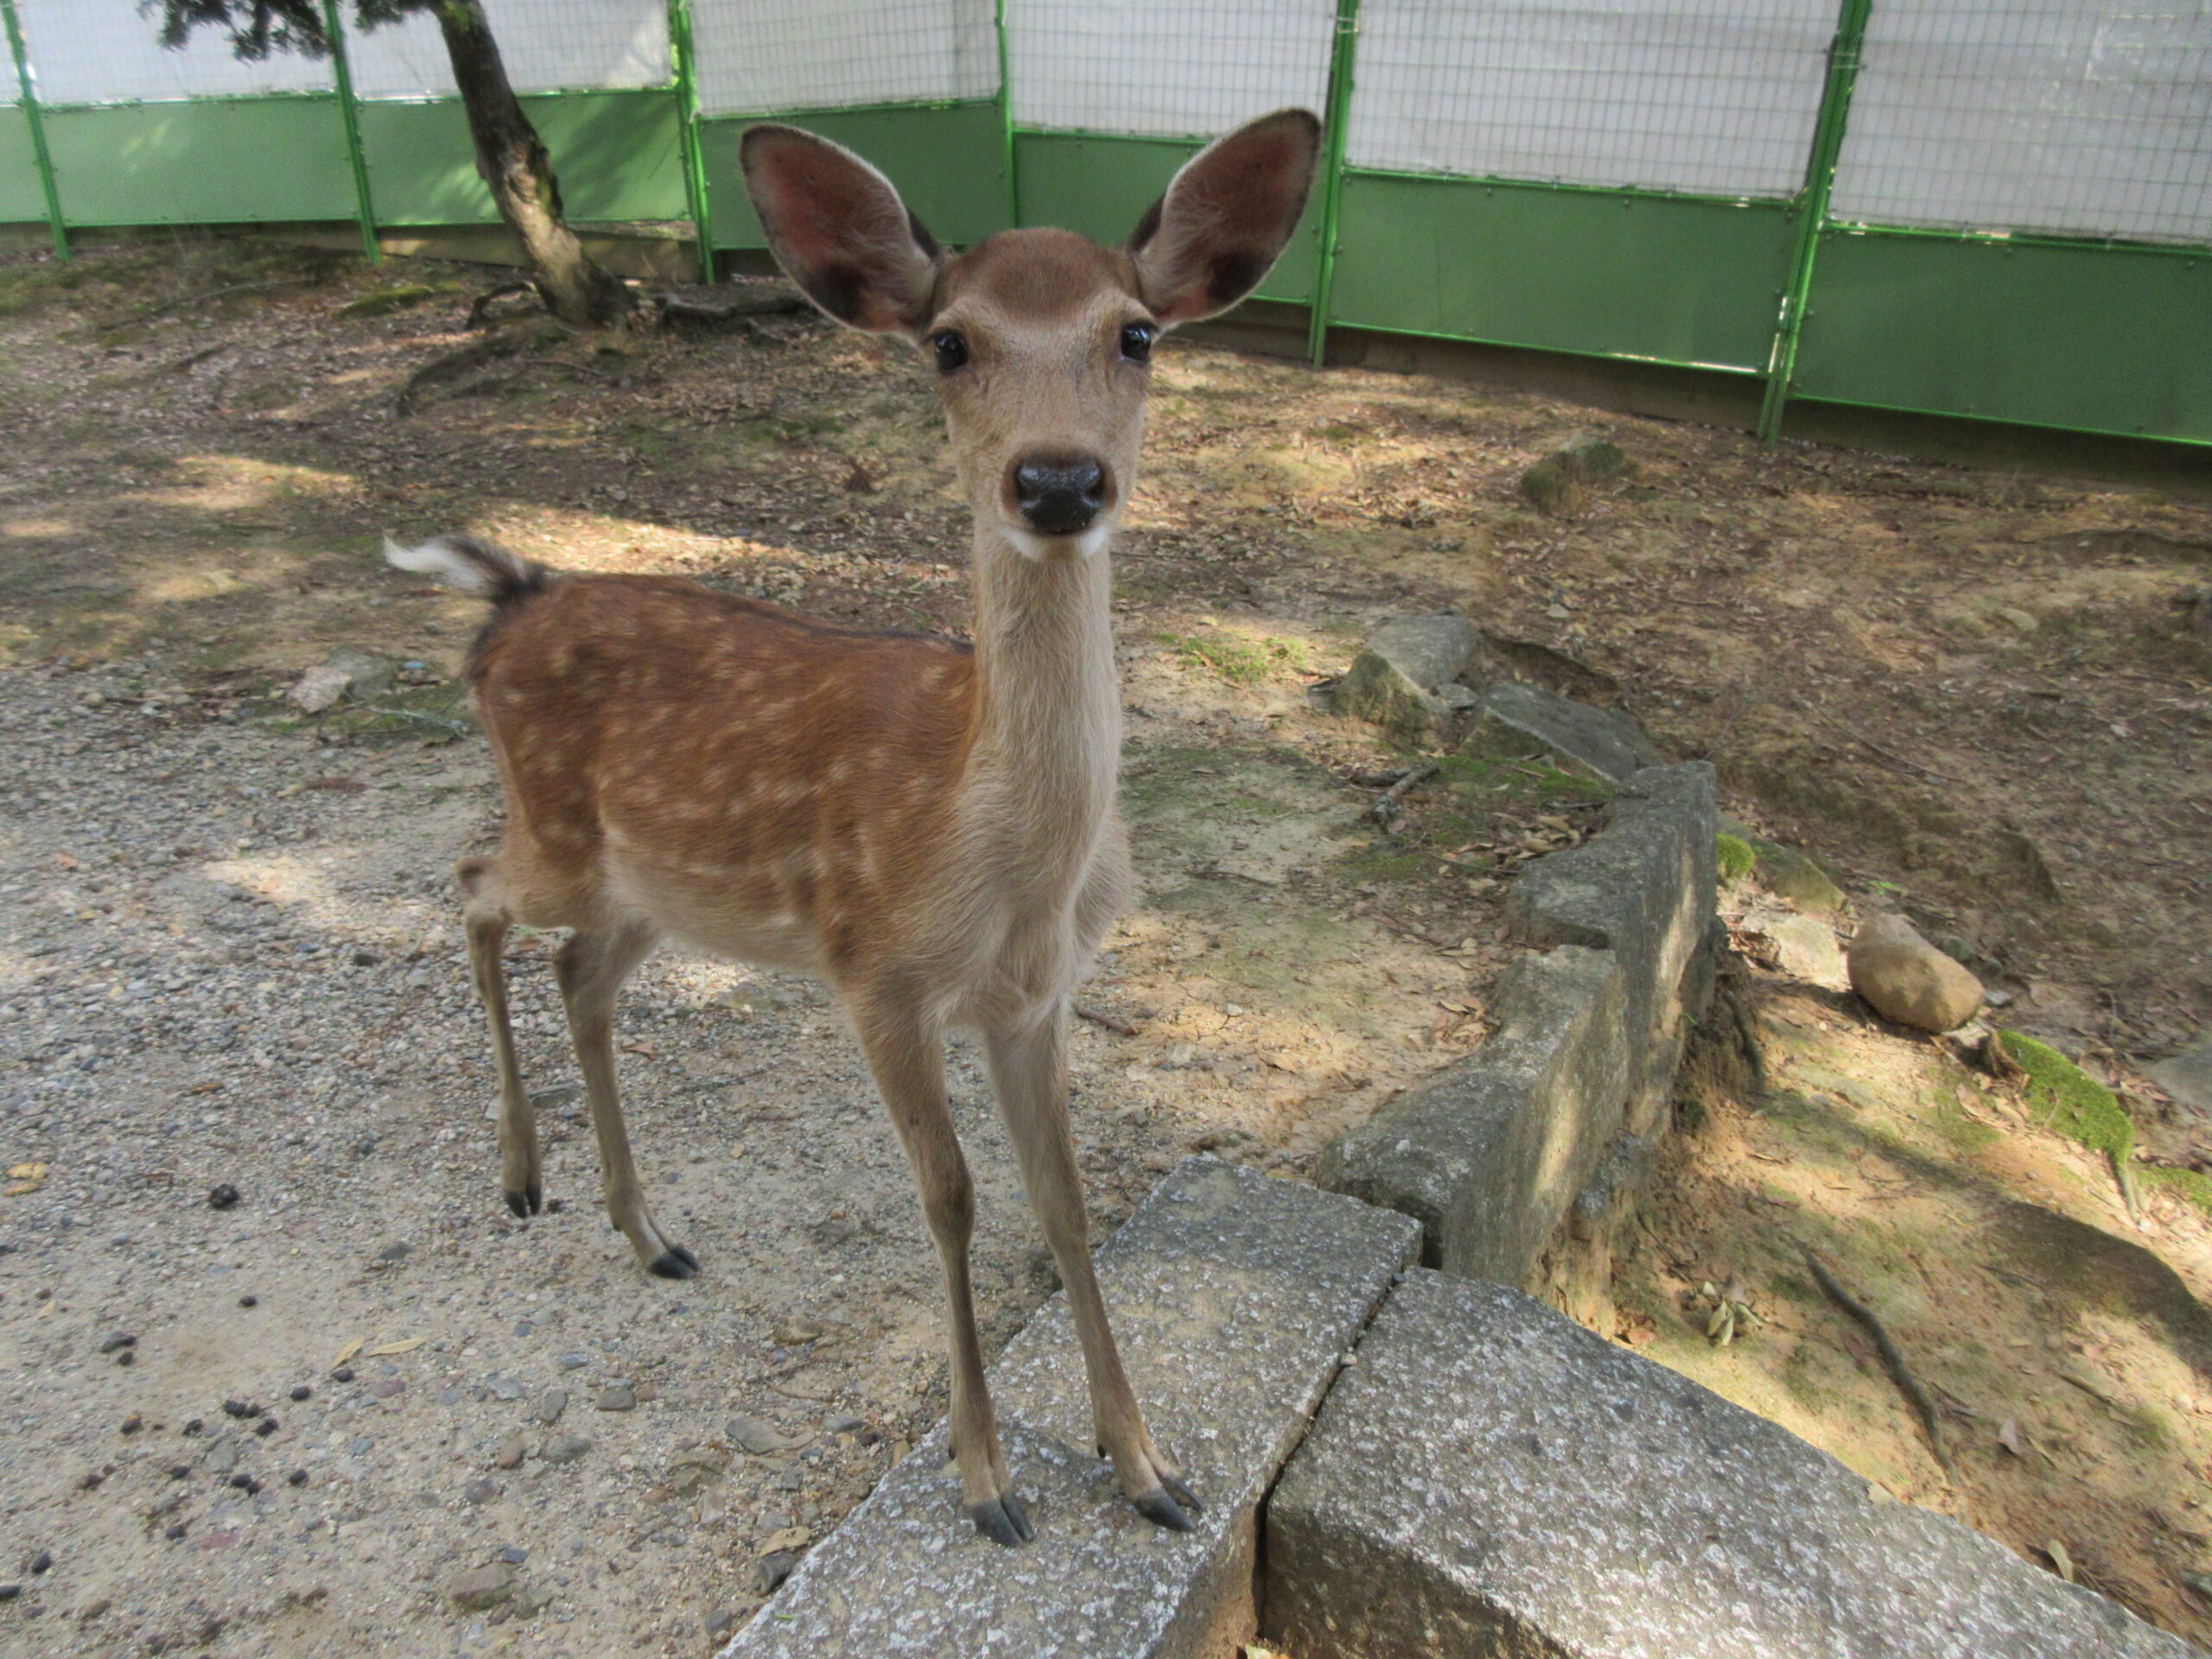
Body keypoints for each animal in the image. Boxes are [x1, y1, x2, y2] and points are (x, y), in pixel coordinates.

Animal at [383, 107, 1320, 1547]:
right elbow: (952, 1199)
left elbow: (1065, 1200)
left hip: (656, 890)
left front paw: (1148, 1468)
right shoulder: (873, 970)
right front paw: (988, 1483)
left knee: (576, 972)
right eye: (950, 342)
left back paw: (647, 1231)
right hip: (560, 836)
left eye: (1136, 334)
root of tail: (512, 593)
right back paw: (522, 1176)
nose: (1059, 480)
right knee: (470, 878)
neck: (1002, 863)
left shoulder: (1036, 997)